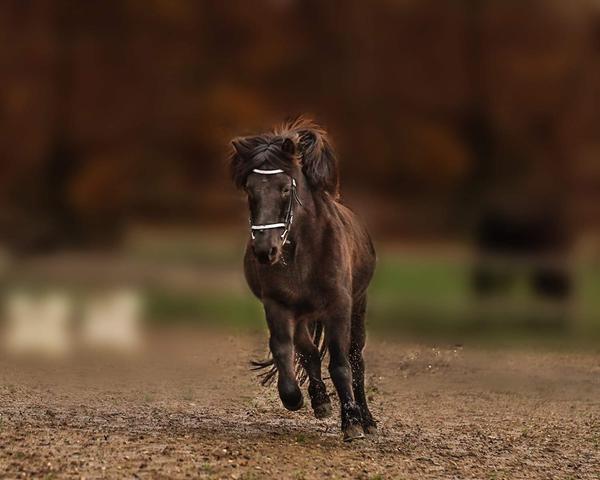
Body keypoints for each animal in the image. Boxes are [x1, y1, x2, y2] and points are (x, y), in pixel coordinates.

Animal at [230, 118, 376, 440]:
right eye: (249, 189)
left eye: (285, 188)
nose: (265, 250)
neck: (303, 253)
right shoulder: (278, 305)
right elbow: (284, 348)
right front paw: (294, 397)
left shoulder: (339, 305)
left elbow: (341, 364)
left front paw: (352, 422)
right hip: (303, 314)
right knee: (308, 351)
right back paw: (320, 400)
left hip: (358, 305)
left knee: (356, 358)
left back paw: (368, 420)